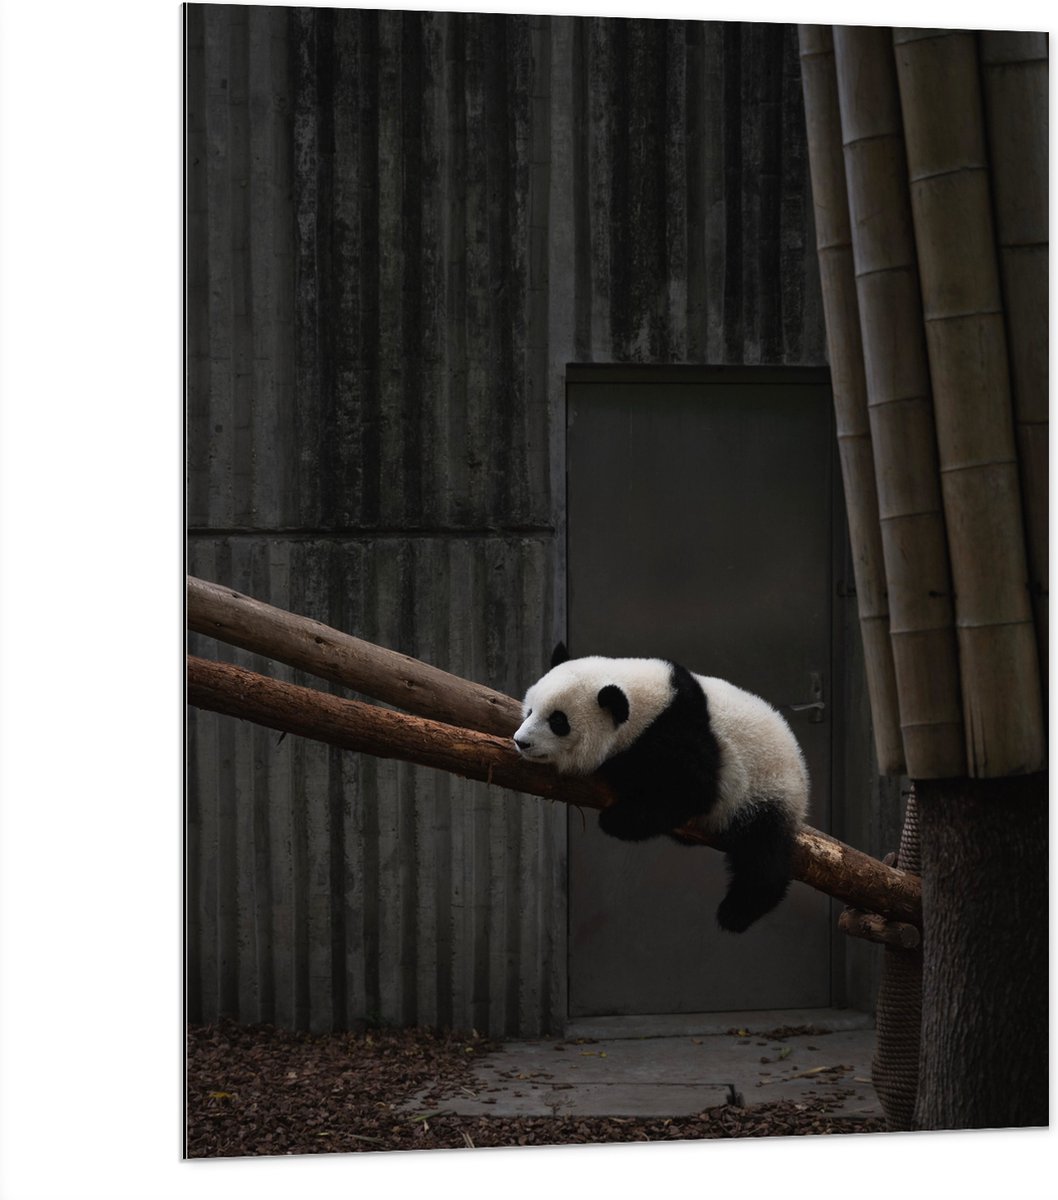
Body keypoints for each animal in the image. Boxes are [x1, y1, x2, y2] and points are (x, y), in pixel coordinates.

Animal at [512, 643, 809, 933]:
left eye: (558, 721)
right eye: (530, 710)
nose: (521, 742)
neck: (649, 704)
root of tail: (801, 771)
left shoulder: (679, 732)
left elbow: (692, 789)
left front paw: (616, 814)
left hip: (766, 789)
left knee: (762, 853)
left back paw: (737, 911)